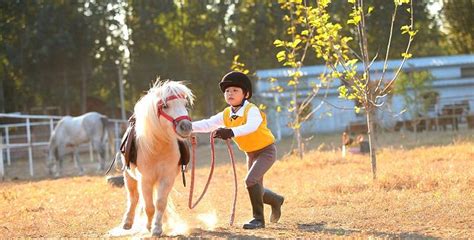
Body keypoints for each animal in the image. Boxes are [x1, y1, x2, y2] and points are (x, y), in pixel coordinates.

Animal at [121, 80, 193, 236]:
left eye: (185, 104)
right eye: (165, 106)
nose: (186, 126)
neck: (158, 148)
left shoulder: (167, 177)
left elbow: (160, 203)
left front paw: (157, 227)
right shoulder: (145, 179)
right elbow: (148, 205)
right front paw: (148, 226)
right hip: (128, 176)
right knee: (133, 197)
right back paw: (127, 222)